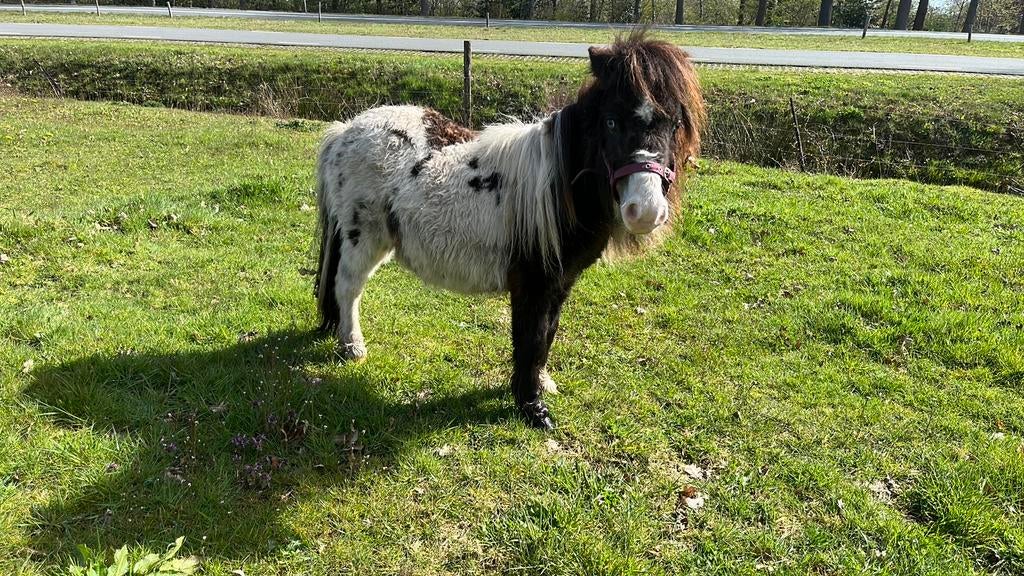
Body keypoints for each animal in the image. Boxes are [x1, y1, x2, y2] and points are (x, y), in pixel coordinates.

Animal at [314, 32, 705, 429]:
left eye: (675, 123)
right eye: (610, 121)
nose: (646, 210)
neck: (556, 187)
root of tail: (345, 131)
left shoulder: (561, 282)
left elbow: (548, 332)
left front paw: (541, 383)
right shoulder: (532, 282)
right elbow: (530, 337)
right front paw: (532, 407)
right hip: (364, 238)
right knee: (347, 287)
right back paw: (352, 346)